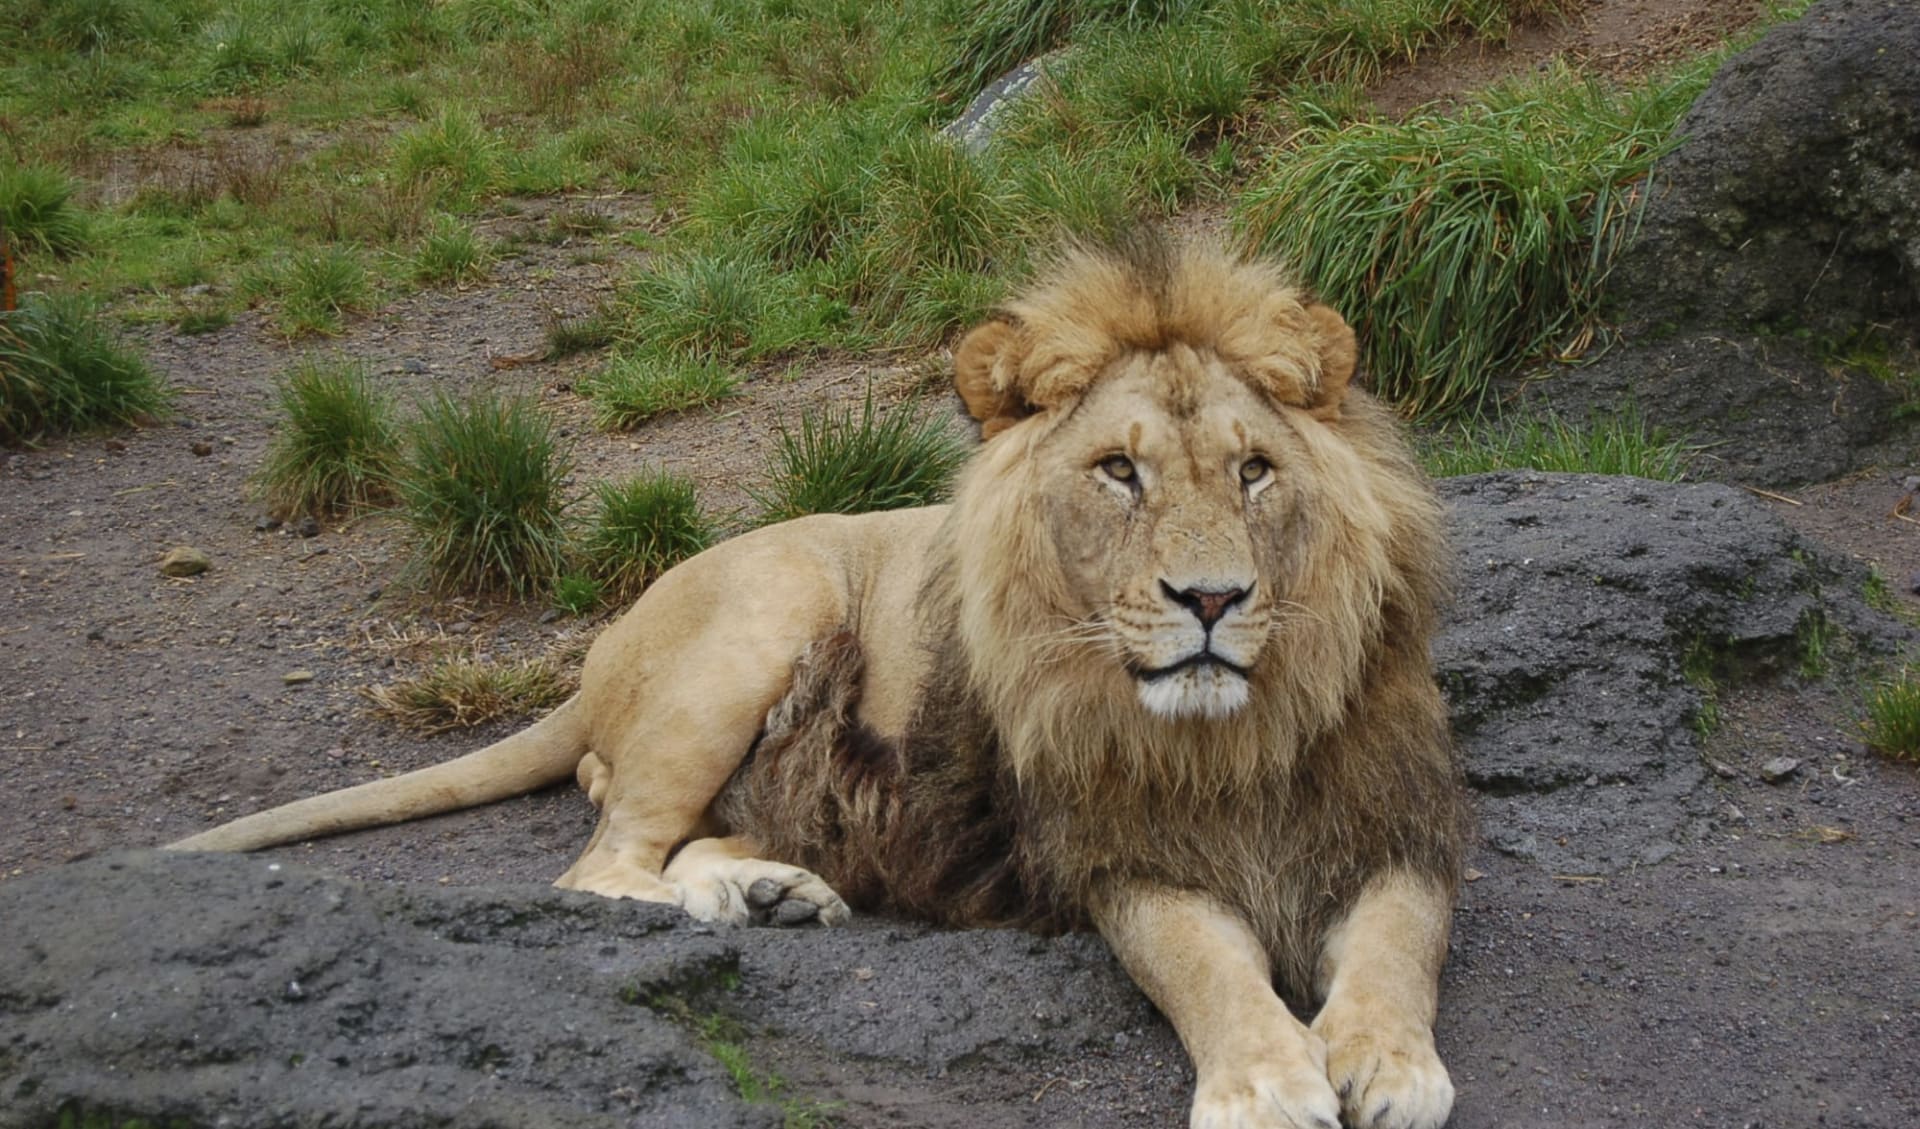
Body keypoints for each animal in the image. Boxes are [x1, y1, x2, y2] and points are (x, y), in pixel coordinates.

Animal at [176, 236, 1466, 1129]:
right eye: (1118, 472)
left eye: (1254, 471)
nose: (1211, 600)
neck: (1232, 733)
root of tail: (598, 653)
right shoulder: (1114, 853)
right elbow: (1205, 962)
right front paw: (1269, 1078)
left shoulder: (1396, 818)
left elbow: (1401, 942)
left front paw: (1387, 1061)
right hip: (770, 610)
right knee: (598, 870)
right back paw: (710, 905)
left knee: (683, 837)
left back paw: (772, 893)